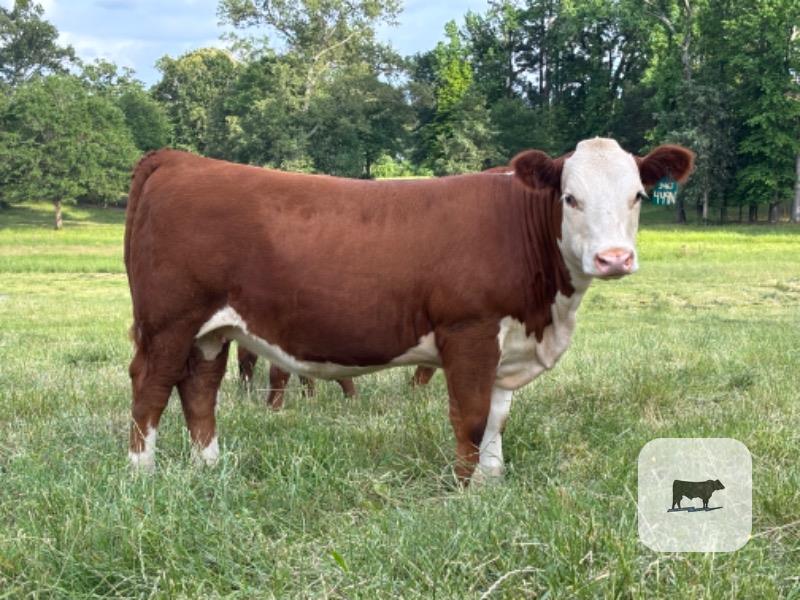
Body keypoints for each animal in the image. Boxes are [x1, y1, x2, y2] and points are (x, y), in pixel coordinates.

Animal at [124, 137, 693, 482]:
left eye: (638, 196)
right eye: (570, 198)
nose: (614, 258)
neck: (546, 314)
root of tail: (180, 159)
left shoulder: (506, 344)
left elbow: (498, 418)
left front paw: (493, 482)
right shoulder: (469, 330)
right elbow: (471, 417)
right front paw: (467, 492)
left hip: (210, 329)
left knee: (199, 388)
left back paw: (209, 466)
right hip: (168, 322)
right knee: (151, 388)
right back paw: (142, 474)